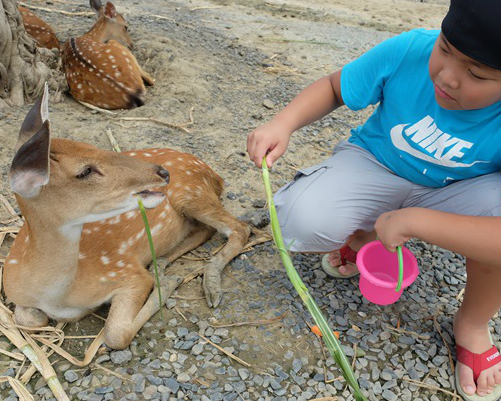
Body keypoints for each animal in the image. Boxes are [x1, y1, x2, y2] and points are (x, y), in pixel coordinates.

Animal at [3, 86, 250, 348]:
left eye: (90, 146)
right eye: (85, 171)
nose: (163, 172)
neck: (57, 296)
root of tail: (215, 174)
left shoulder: (126, 273)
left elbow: (115, 334)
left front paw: (167, 284)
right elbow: (28, 319)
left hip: (192, 193)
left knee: (239, 228)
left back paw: (207, 284)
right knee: (207, 229)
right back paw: (162, 263)